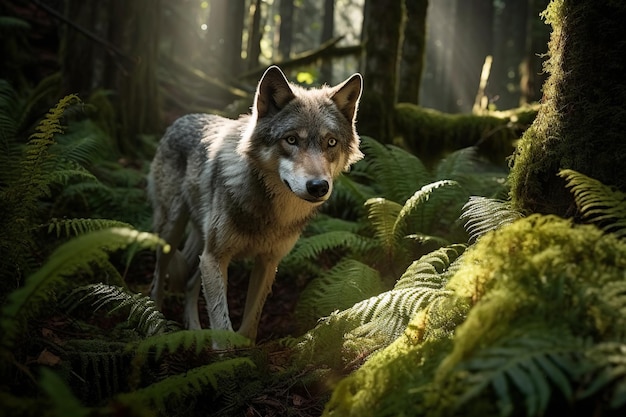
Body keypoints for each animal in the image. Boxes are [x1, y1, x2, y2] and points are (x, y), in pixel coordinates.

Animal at [146, 66, 360, 342]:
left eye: (331, 142)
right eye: (291, 140)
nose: (318, 187)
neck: (272, 213)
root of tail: (182, 118)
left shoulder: (267, 263)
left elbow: (249, 326)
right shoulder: (215, 257)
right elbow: (222, 326)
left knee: (191, 283)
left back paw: (194, 329)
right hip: (171, 232)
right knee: (158, 279)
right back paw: (155, 327)